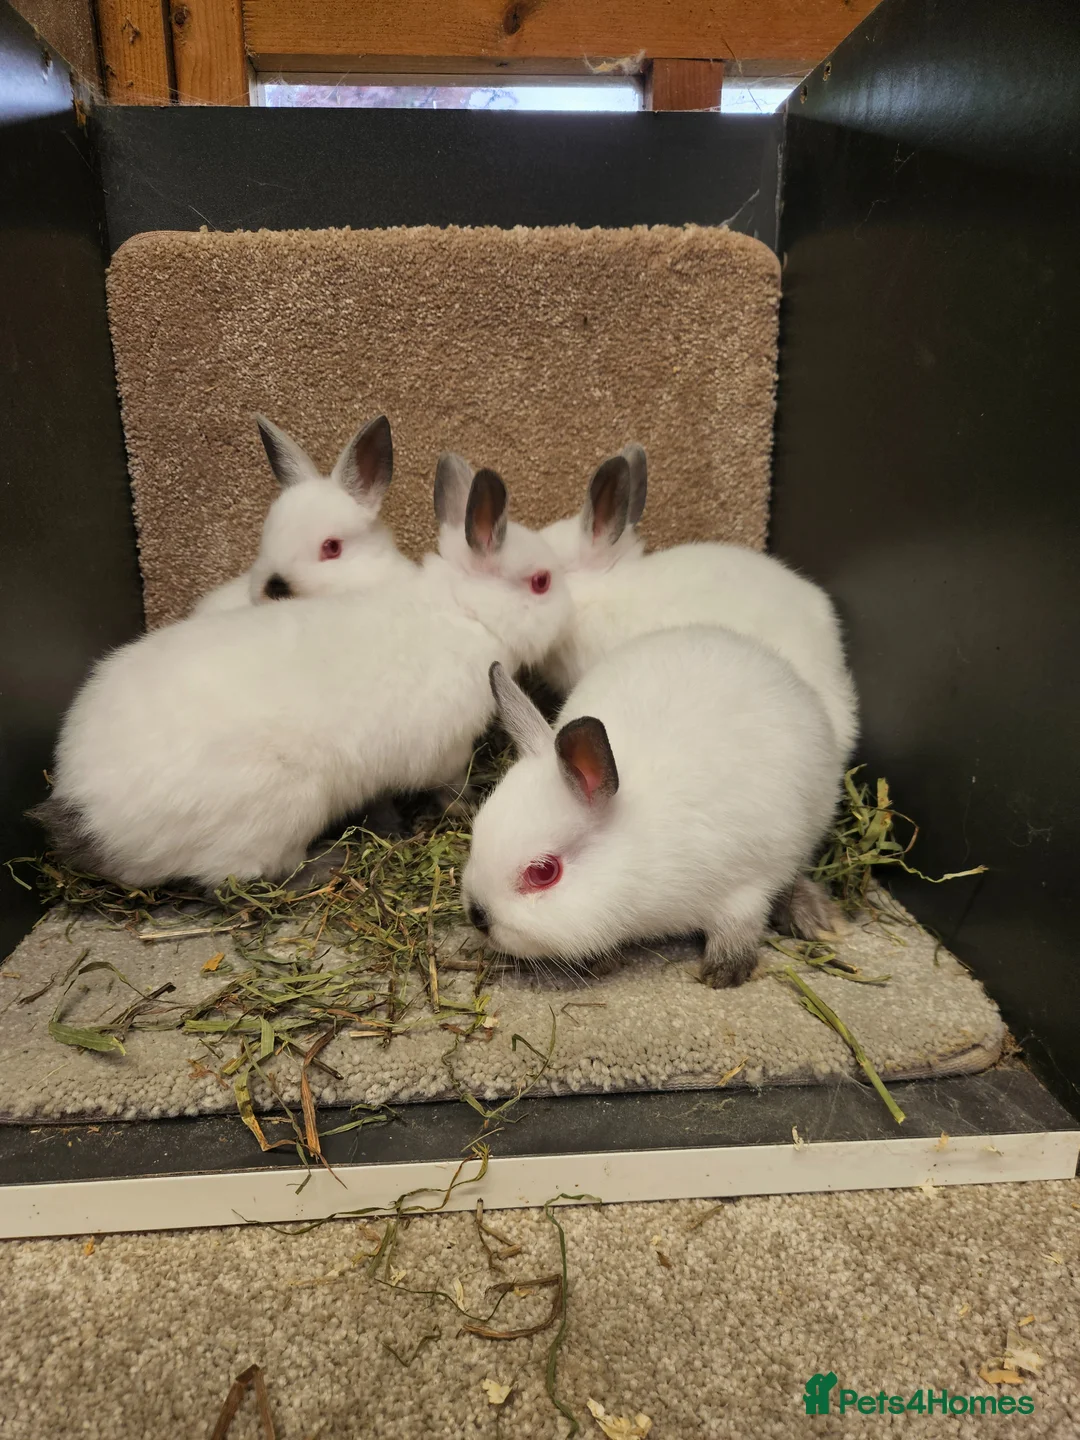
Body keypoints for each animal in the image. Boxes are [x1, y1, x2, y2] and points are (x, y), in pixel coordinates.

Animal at [33, 458, 570, 891]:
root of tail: (86, 812)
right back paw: (329, 861)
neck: (464, 611)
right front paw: (466, 805)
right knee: (249, 877)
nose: (570, 606)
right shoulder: (447, 751)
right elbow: (451, 787)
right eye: (542, 582)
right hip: (279, 815)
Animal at [462, 624, 842, 988]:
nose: (478, 916)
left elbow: (739, 927)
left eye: (544, 872)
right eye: (475, 832)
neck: (637, 854)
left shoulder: (744, 888)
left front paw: (724, 972)